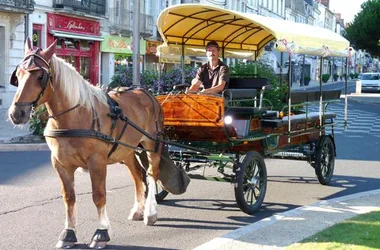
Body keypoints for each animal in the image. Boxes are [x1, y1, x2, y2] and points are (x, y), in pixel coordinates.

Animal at [7, 38, 189, 249]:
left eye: (40, 76)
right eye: (17, 75)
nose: (16, 114)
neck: (75, 115)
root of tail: (147, 93)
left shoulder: (97, 162)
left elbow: (99, 196)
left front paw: (101, 232)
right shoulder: (60, 164)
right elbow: (69, 197)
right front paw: (68, 233)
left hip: (152, 144)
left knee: (152, 175)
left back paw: (150, 213)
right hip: (126, 151)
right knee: (138, 176)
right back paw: (138, 210)